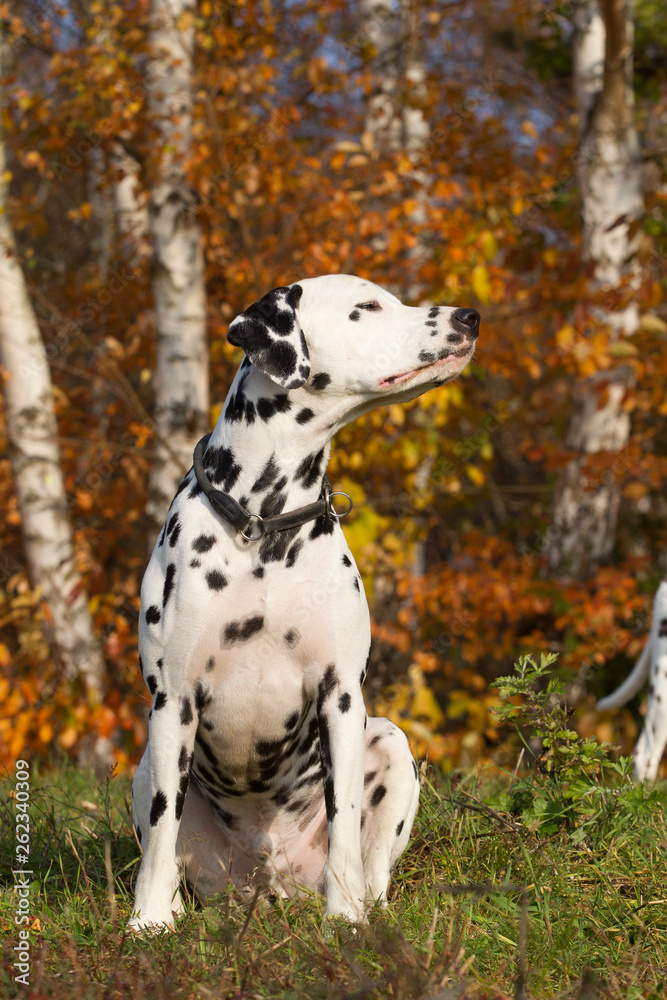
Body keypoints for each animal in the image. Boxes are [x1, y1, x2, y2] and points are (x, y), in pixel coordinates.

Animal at [129, 274, 480, 928]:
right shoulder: (173, 701)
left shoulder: (340, 697)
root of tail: (269, 882)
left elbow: (344, 816)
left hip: (391, 743)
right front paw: (148, 923)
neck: (265, 525)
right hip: (145, 769)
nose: (470, 316)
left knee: (373, 866)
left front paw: (345, 919)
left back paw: (365, 906)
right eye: (368, 306)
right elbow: (163, 830)